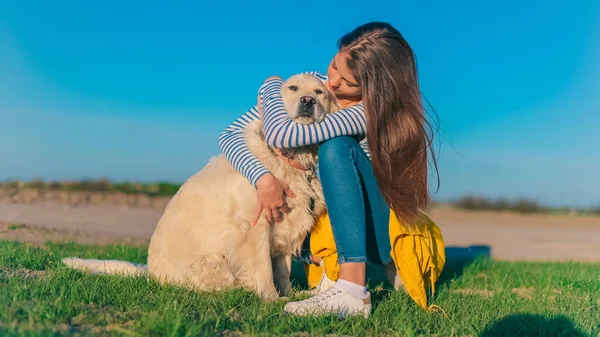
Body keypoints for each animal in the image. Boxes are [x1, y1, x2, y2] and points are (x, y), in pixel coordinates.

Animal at [65, 74, 340, 300]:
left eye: (319, 92)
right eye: (292, 88)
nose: (307, 101)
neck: (290, 158)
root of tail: (149, 273)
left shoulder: (284, 226)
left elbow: (282, 269)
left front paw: (289, 295)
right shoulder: (253, 226)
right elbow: (263, 270)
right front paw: (271, 300)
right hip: (214, 263)